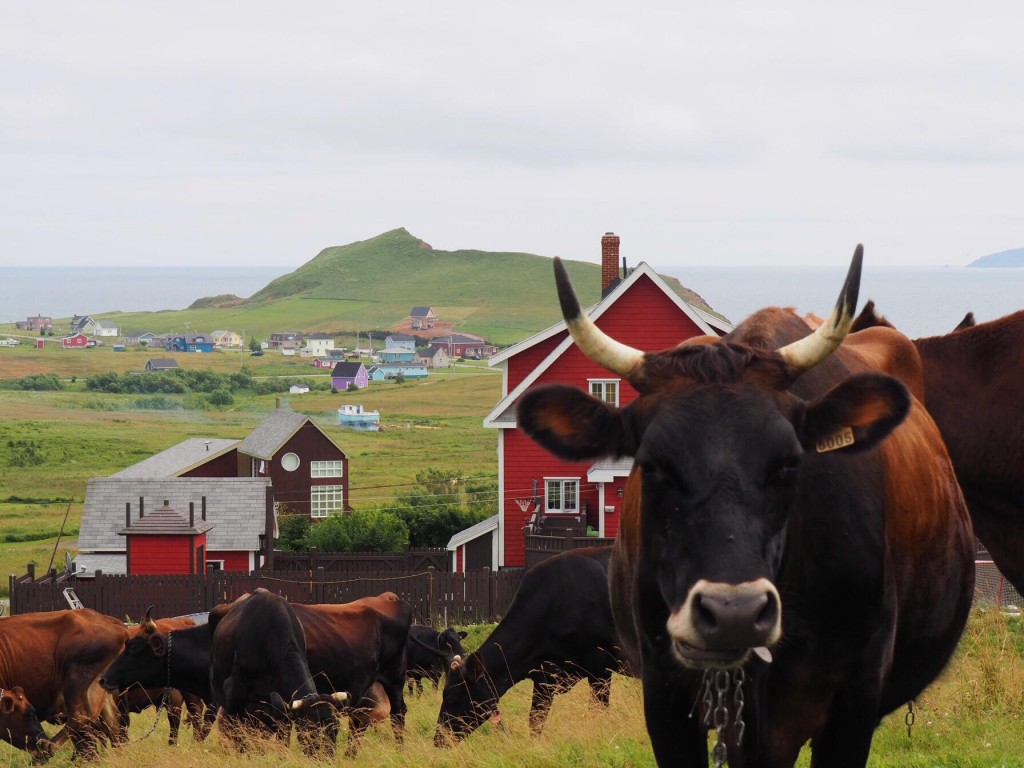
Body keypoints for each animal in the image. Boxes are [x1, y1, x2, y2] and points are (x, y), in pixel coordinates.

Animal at [0, 610, 129, 761]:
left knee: (81, 716)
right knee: (113, 727)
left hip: (76, 679)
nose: (41, 741)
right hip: (100, 688)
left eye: (31, 713)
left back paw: (49, 747)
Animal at [100, 593, 411, 753]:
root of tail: (390, 598)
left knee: (397, 716)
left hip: (395, 681)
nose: (104, 678)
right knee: (363, 724)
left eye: (133, 646)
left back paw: (398, 750)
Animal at [434, 544, 630, 749]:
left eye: (450, 697)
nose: (438, 739)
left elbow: (598, 712)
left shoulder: (599, 669)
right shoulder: (544, 677)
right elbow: (536, 720)